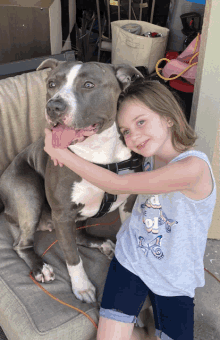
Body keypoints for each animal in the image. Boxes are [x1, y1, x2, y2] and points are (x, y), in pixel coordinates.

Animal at [0, 58, 143, 302]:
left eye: (88, 85)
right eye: (51, 84)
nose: (54, 106)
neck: (99, 153)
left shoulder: (129, 201)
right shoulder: (63, 214)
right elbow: (72, 257)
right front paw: (82, 286)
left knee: (79, 236)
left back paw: (101, 243)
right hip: (28, 193)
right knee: (22, 244)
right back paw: (40, 267)